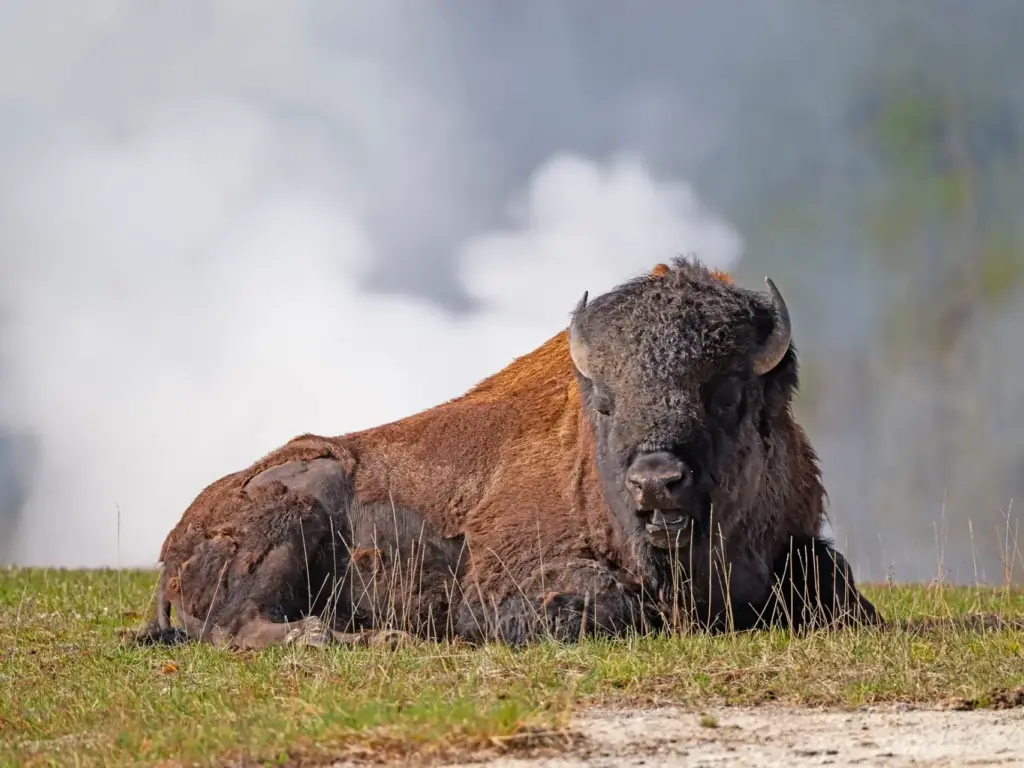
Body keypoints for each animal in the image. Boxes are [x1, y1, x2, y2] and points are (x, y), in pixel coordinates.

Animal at [141, 257, 881, 649]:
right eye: (605, 401)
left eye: (727, 392)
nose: (655, 481)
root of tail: (174, 543)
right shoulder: (505, 580)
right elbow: (607, 605)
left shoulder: (800, 544)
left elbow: (835, 584)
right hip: (296, 516)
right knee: (240, 628)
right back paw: (366, 637)